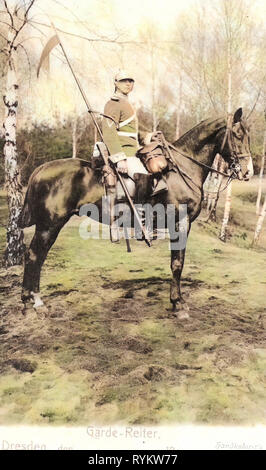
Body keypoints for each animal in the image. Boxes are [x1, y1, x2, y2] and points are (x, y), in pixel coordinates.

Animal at [18, 107, 254, 320]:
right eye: (237, 135)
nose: (248, 171)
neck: (182, 168)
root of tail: (40, 169)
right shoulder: (181, 223)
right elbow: (177, 263)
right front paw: (178, 304)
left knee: (35, 257)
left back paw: (29, 302)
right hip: (49, 226)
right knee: (34, 257)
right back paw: (35, 303)